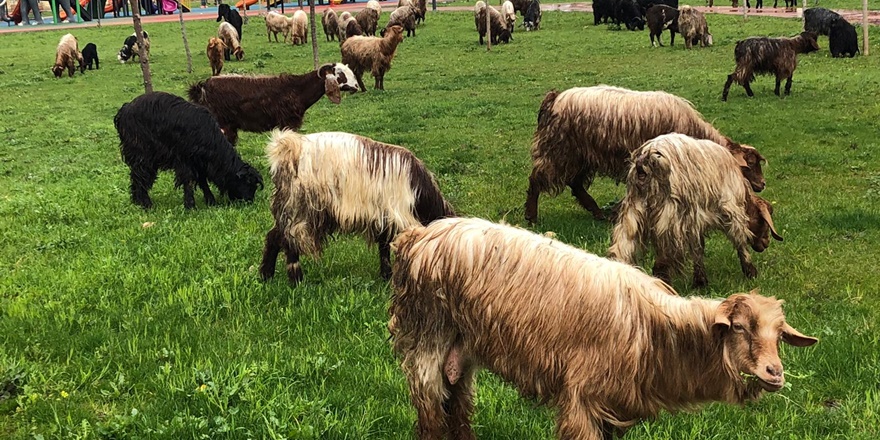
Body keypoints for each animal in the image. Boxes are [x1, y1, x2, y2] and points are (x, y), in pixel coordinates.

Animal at [114, 91, 264, 210]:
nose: (249, 201)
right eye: (248, 182)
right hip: (142, 153)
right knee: (140, 176)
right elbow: (189, 182)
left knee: (135, 176)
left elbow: (202, 181)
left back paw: (137, 201)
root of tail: (124, 109)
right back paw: (146, 204)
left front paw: (211, 201)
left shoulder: (200, 162)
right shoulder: (185, 161)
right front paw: (190, 206)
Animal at [259, 130, 455, 284]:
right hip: (300, 209)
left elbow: (384, 247)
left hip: (287, 207)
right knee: (288, 241)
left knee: (273, 237)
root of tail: (287, 148)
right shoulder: (399, 216)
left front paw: (386, 276)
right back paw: (296, 280)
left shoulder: (383, 217)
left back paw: (266, 276)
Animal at [389, 216, 817, 440]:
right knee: (430, 412)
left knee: (457, 406)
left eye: (779, 336)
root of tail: (419, 236)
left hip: (459, 354)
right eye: (740, 328)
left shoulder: (615, 407)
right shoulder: (581, 399)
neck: (655, 332)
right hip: (425, 340)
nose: (774, 373)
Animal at [524, 85, 766, 223]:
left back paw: (599, 213)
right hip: (558, 150)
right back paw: (532, 217)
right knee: (536, 180)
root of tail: (554, 98)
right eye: (750, 165)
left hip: (580, 155)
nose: (762, 184)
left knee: (575, 185)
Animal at [607, 133, 783, 287]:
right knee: (661, 264)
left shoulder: (695, 220)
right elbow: (740, 241)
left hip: (632, 214)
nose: (766, 243)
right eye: (764, 222)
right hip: (670, 219)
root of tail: (645, 161)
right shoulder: (731, 210)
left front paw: (700, 282)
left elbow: (698, 248)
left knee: (620, 251)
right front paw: (751, 272)